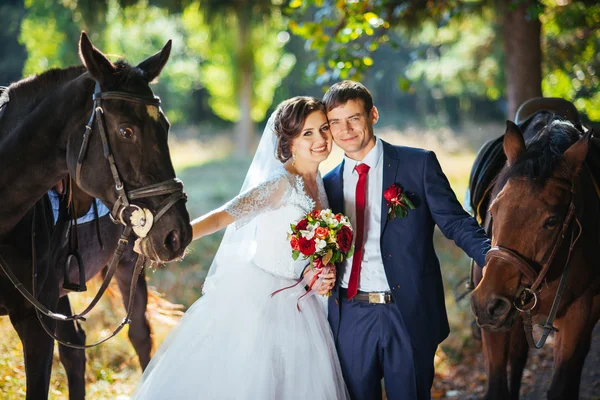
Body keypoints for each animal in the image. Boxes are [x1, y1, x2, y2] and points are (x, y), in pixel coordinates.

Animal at [0, 32, 191, 398]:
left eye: (166, 126)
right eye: (126, 131)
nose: (178, 235)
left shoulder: (35, 321)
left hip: (127, 266)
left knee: (139, 336)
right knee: (75, 351)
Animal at [472, 117, 600, 398]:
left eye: (552, 221)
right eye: (494, 210)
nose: (489, 304)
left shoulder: (578, 314)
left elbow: (562, 385)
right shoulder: (495, 327)